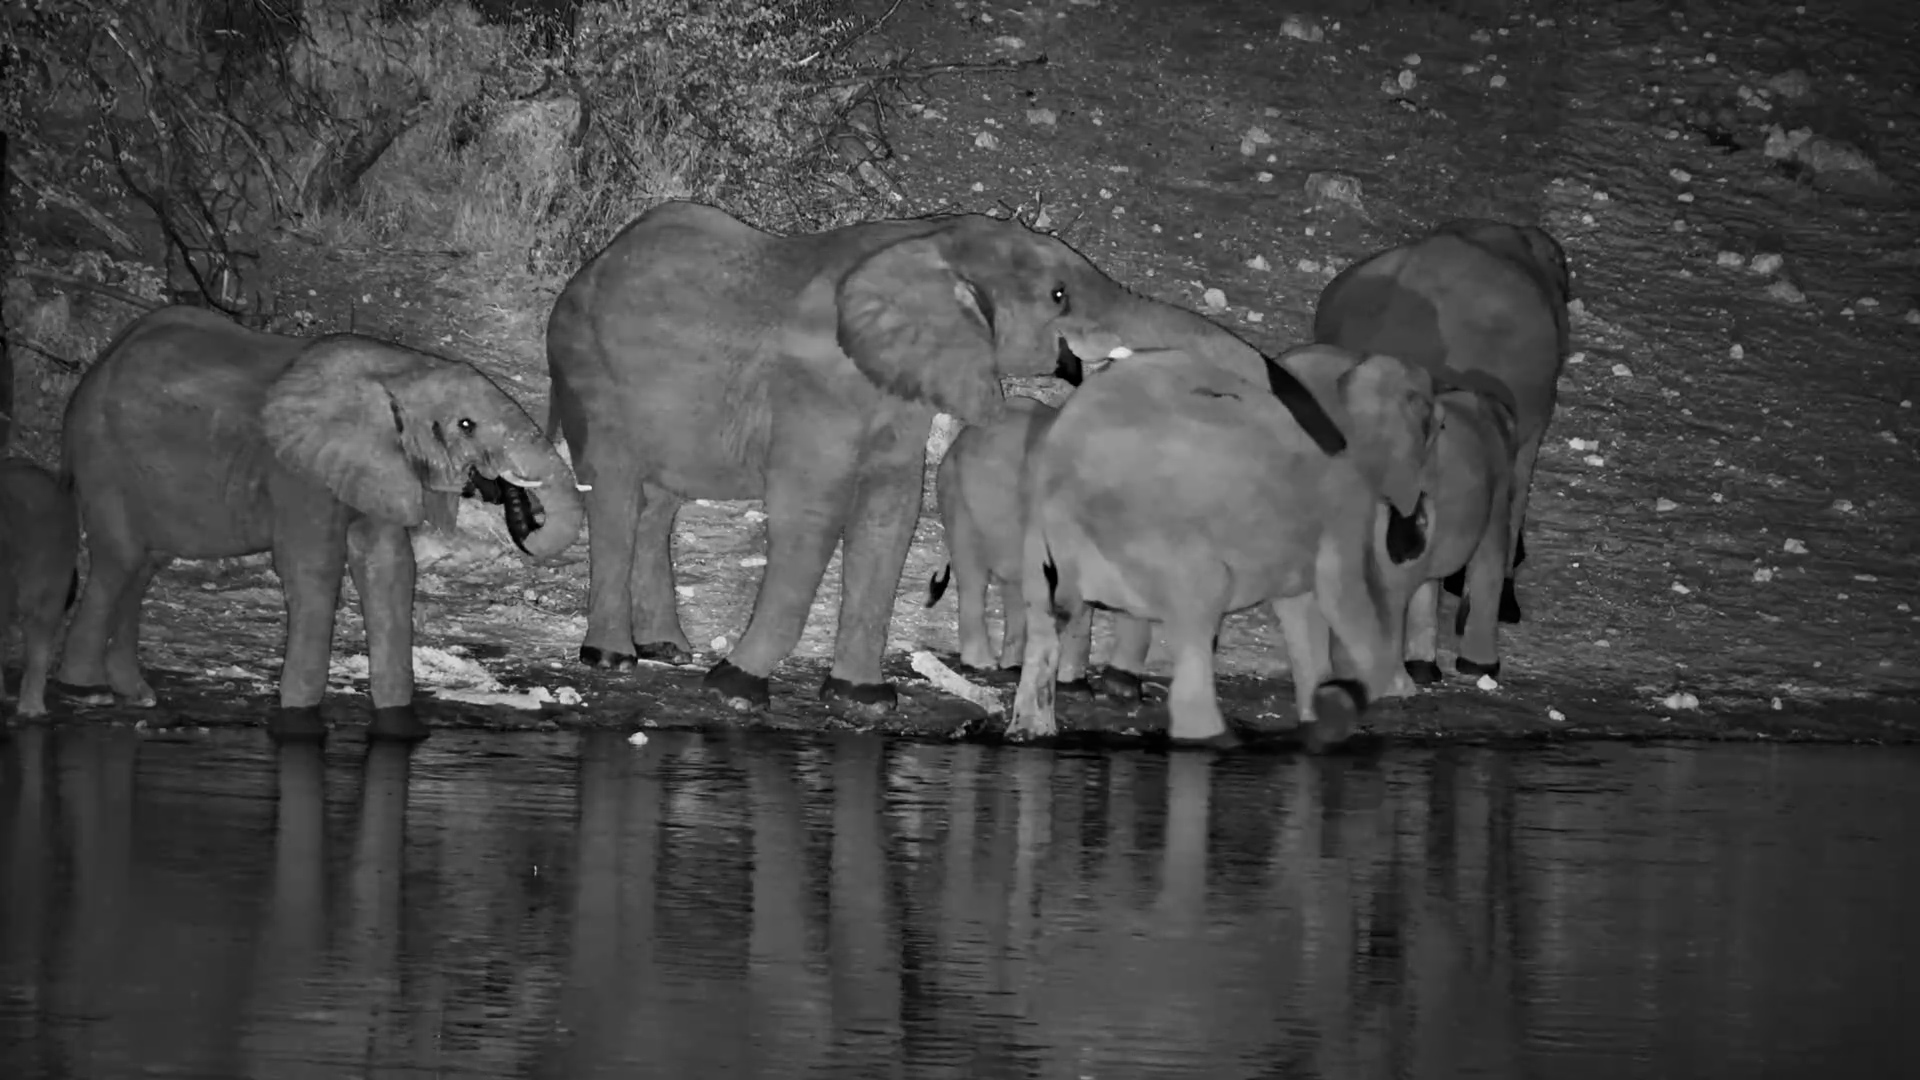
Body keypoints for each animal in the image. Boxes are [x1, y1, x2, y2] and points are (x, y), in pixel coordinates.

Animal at [56, 306, 585, 741]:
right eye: (466, 425)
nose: (507, 496)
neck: (399, 369)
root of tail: (95, 367)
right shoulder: (297, 472)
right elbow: (314, 569)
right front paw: (299, 729)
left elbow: (389, 568)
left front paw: (402, 732)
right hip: (100, 454)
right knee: (119, 559)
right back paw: (85, 691)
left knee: (144, 565)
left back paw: (136, 695)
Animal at [547, 200, 1347, 716]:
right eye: (1060, 295)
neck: (931, 241)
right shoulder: (818, 390)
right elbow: (812, 517)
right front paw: (737, 690)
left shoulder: (896, 394)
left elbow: (891, 514)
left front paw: (863, 701)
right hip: (592, 370)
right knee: (616, 491)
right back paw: (613, 658)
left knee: (657, 504)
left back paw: (666, 648)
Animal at [1007, 344, 1441, 749]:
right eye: (1436, 428)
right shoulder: (1341, 501)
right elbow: (1342, 598)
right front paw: (1336, 708)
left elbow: (1302, 611)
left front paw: (1317, 723)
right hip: (1156, 537)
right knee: (1200, 610)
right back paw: (1217, 742)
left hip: (1038, 535)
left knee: (1045, 623)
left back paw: (1029, 731)